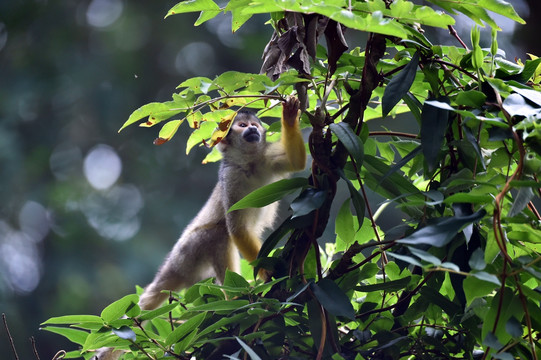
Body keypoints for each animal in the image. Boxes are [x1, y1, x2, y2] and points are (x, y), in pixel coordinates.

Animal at [90, 96, 306, 360]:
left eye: (254, 125)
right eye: (242, 125)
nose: (253, 130)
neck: (249, 163)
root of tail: (172, 263)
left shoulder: (266, 158)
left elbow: (296, 162)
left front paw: (290, 114)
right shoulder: (230, 178)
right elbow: (236, 229)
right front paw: (266, 270)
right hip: (189, 252)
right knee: (218, 234)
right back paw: (235, 300)